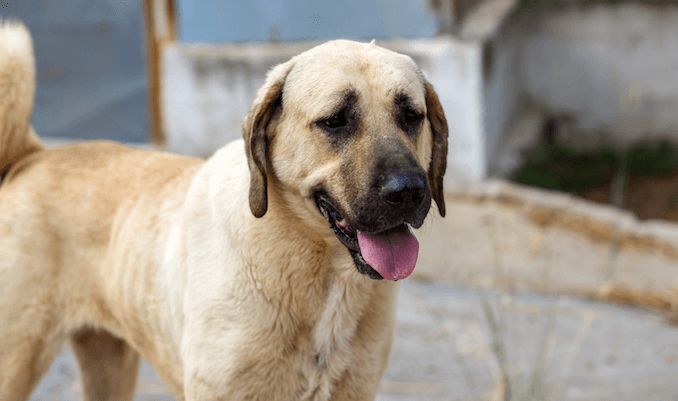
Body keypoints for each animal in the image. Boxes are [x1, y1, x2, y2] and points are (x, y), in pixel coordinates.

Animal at [0, 20, 448, 398]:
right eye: (335, 120)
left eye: (412, 115)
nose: (408, 192)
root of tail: (34, 156)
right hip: (16, 361)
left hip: (108, 361)